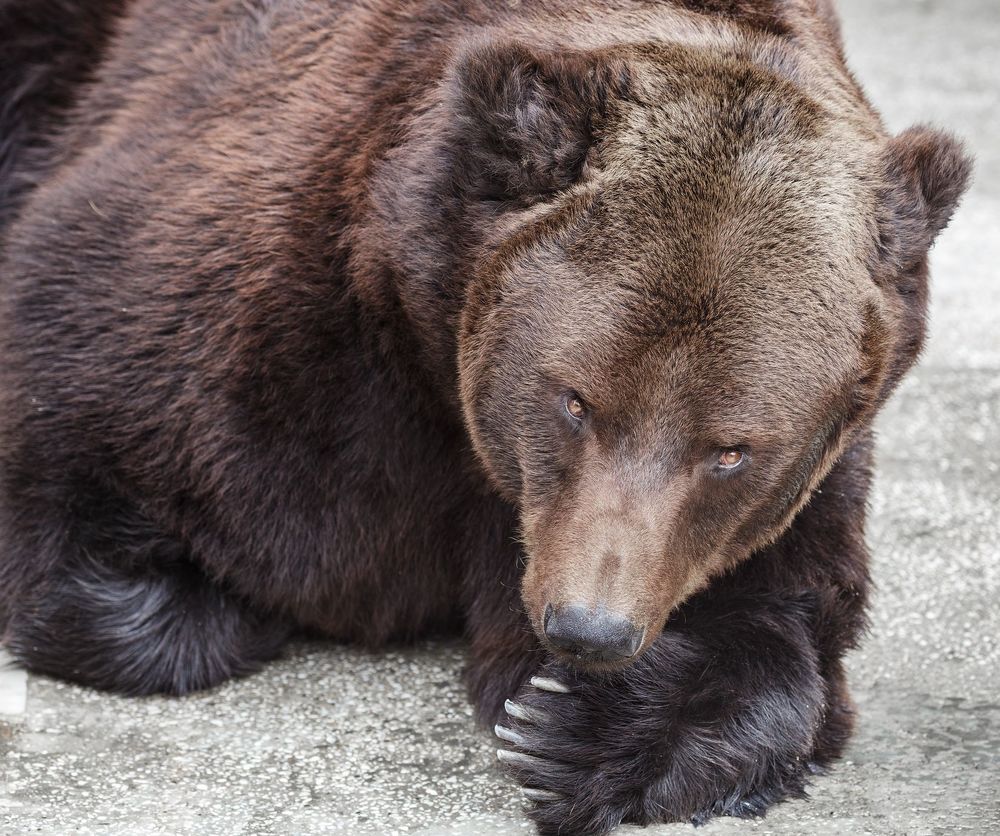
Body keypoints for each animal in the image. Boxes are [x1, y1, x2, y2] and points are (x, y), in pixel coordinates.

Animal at [0, 0, 971, 833]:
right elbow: (77, 455)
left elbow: (782, 634)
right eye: (575, 400)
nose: (589, 627)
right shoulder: (248, 319)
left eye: (730, 450)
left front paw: (574, 728)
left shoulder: (810, 469)